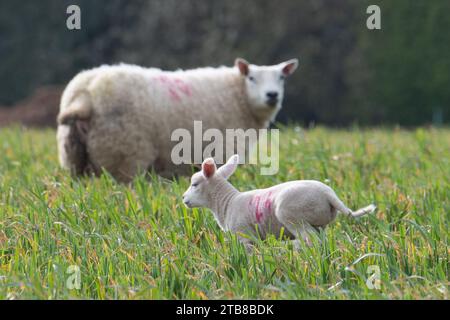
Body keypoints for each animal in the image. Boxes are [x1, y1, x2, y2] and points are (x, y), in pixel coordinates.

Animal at [56, 58, 298, 181]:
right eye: (251, 77)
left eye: (282, 77)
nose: (272, 95)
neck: (239, 96)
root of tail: (86, 95)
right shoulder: (224, 150)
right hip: (124, 155)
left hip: (75, 159)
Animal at [183, 155, 376, 248]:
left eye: (194, 184)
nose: (184, 199)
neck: (227, 203)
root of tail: (328, 194)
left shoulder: (245, 235)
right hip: (320, 223)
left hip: (292, 215)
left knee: (309, 240)